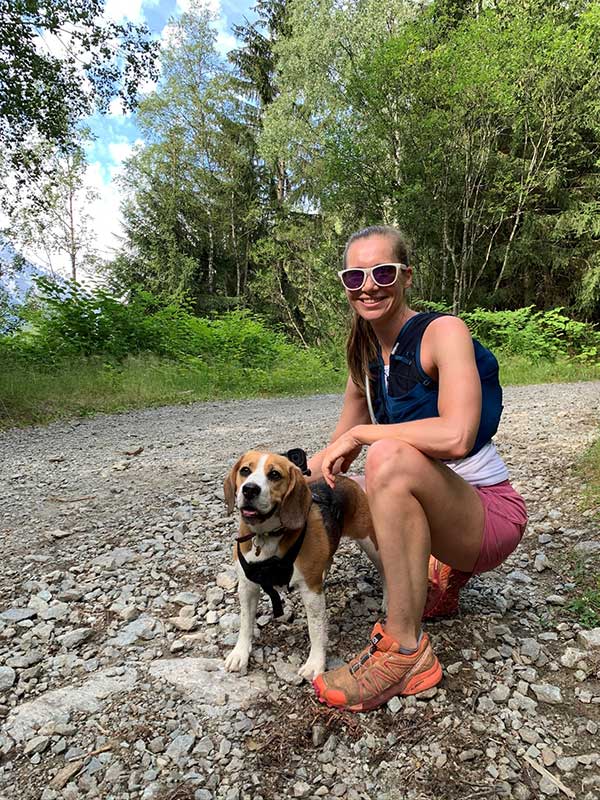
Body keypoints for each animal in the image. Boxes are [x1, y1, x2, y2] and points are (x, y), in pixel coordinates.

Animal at [221, 450, 384, 680]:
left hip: (370, 543)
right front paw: (240, 654)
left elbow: (315, 629)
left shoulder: (311, 592)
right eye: (245, 470)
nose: (250, 489)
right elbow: (245, 622)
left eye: (274, 474)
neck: (267, 536)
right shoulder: (247, 586)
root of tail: (345, 479)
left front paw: (315, 663)